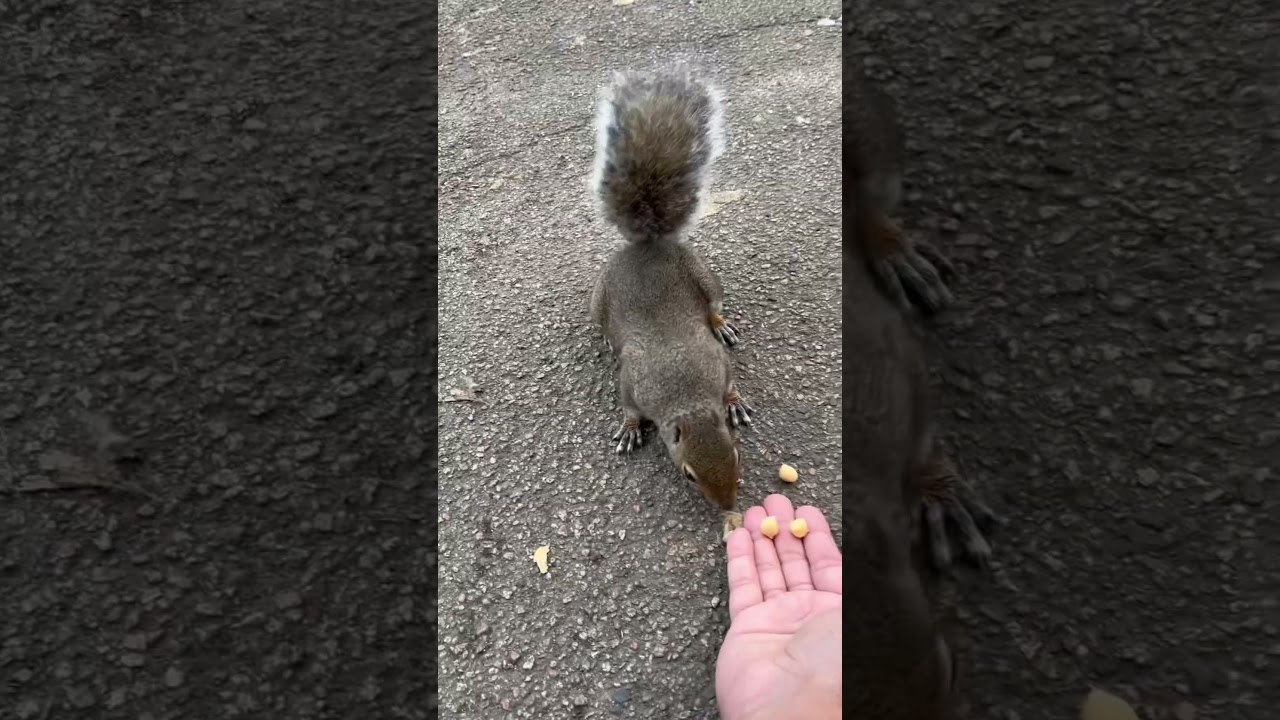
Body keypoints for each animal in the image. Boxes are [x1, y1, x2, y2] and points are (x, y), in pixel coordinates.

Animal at [587, 68, 752, 513]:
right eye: (688, 474)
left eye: (735, 454)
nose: (727, 507)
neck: (688, 398)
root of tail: (649, 245)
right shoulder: (635, 382)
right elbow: (628, 403)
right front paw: (630, 427)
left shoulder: (716, 364)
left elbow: (729, 379)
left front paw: (735, 403)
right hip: (598, 299)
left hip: (705, 276)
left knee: (713, 304)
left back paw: (721, 323)